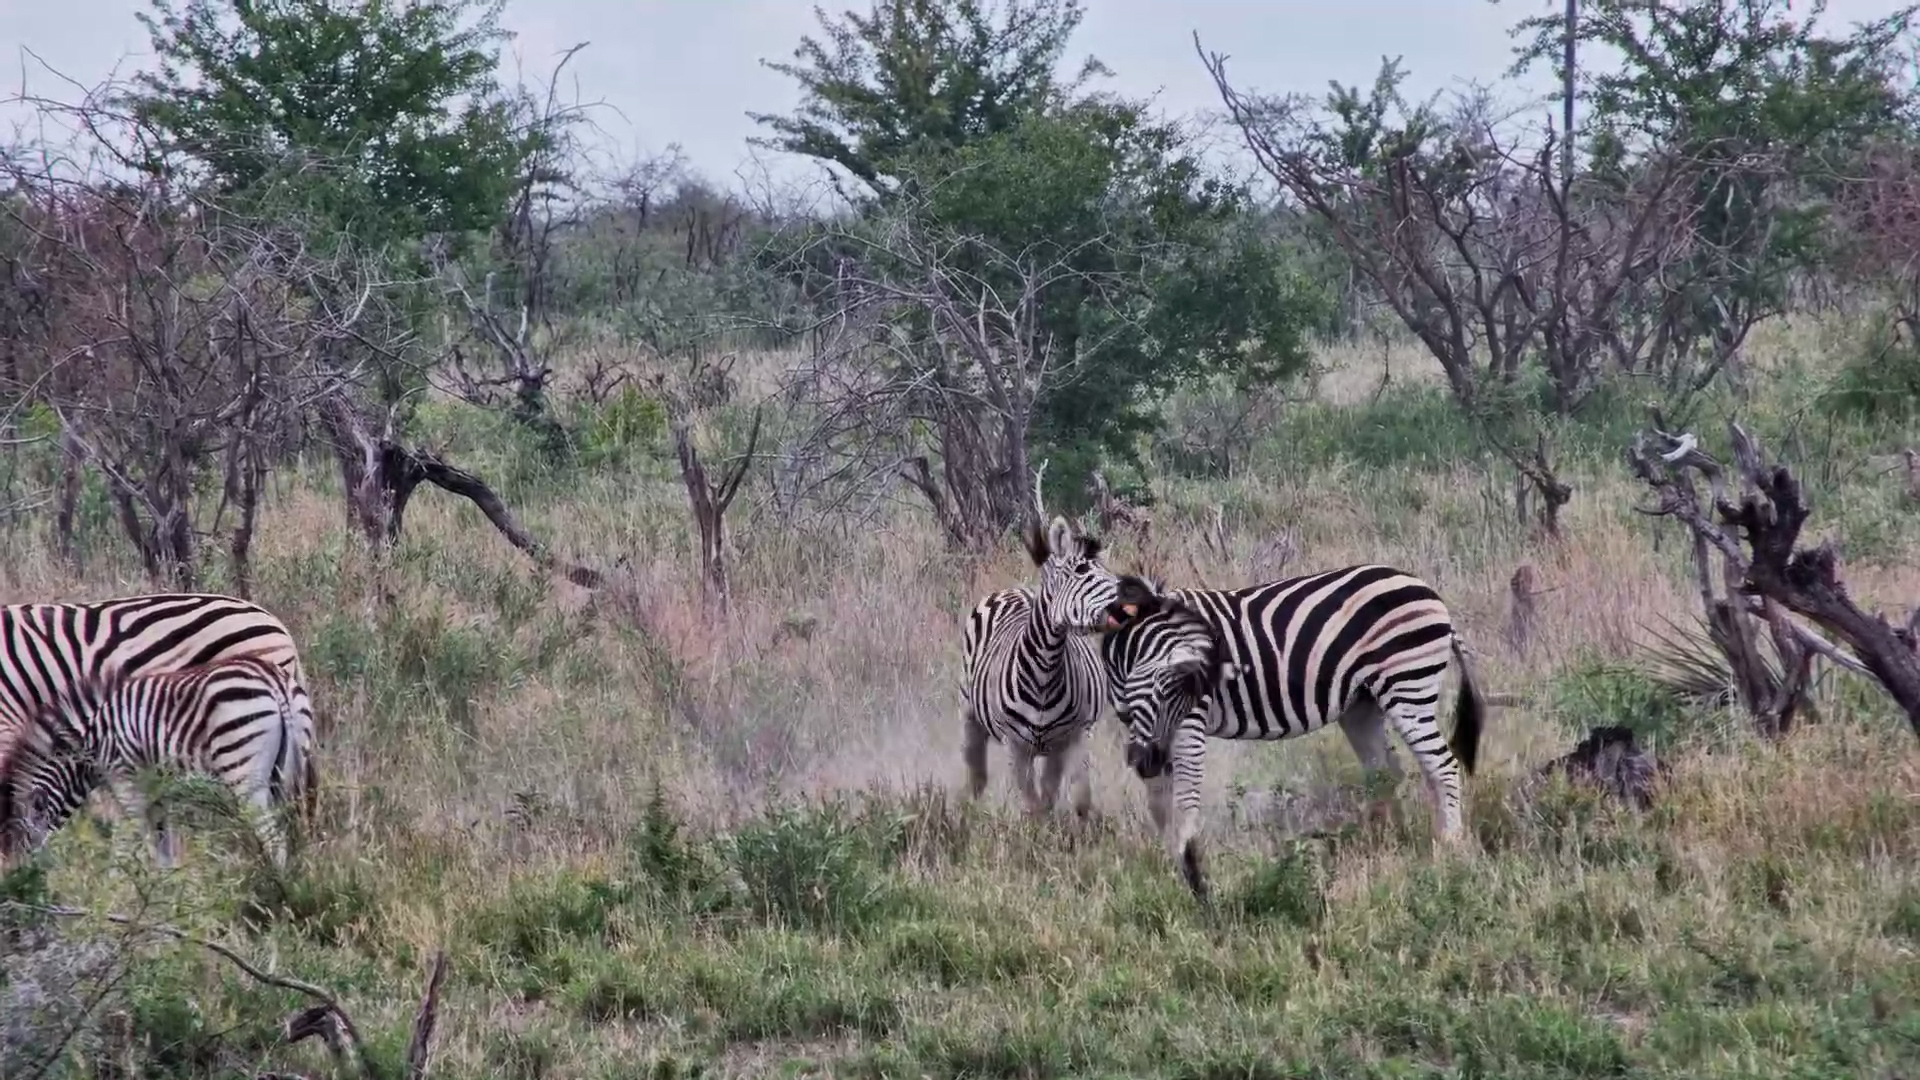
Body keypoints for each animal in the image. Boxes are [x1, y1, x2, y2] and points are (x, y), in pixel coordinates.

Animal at [0, 650, 315, 869]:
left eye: (20, 844)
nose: (21, 879)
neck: (90, 738)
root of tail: (273, 679)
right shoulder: (157, 793)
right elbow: (163, 847)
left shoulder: (125, 779)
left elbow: (127, 841)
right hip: (289, 769)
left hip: (243, 770)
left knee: (273, 837)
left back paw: (275, 888)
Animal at [960, 513, 1124, 820]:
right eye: (1081, 570)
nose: (1124, 606)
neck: (1045, 672)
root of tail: (1015, 588)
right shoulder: (1015, 746)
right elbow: (1033, 805)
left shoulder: (1073, 737)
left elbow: (1077, 798)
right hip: (969, 713)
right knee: (975, 775)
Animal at [1099, 566, 1485, 899]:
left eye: (1178, 688)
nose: (1146, 760)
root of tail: (1430, 593)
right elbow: (1160, 802)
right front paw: (1171, 863)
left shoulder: (1188, 721)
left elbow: (1184, 796)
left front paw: (1189, 863)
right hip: (1362, 704)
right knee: (1386, 772)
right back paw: (1385, 842)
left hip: (1407, 685)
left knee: (1442, 766)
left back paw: (1448, 845)